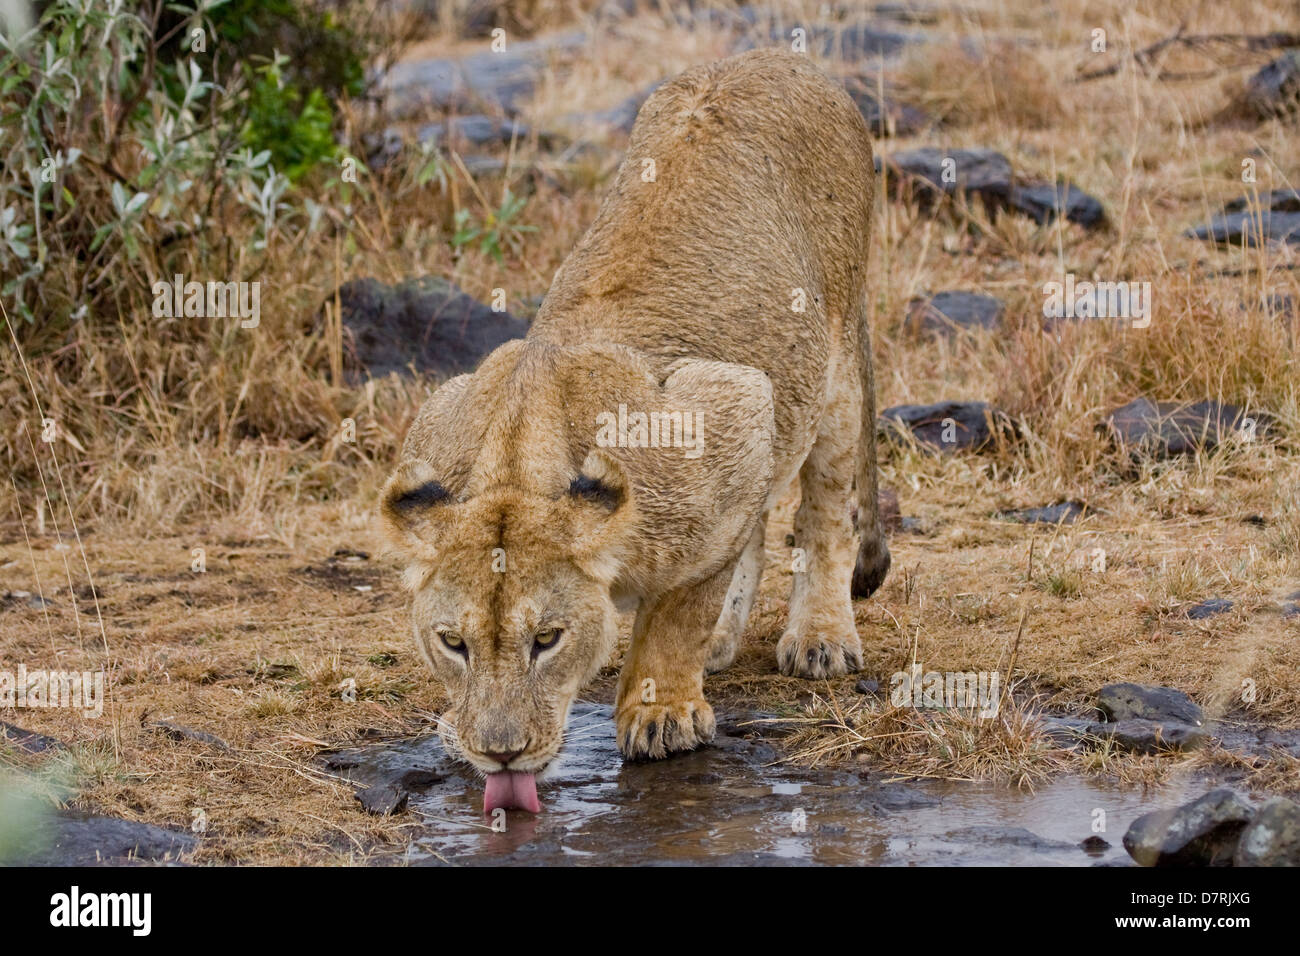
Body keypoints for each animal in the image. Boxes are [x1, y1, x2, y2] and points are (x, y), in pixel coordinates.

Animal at [379, 49, 890, 813]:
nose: (501, 752)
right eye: (453, 643)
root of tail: (779, 55)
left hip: (831, 363)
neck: (515, 460)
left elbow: (682, 607)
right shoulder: (444, 411)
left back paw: (820, 636)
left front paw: (661, 710)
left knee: (825, 508)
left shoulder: (731, 402)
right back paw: (727, 638)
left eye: (547, 639)